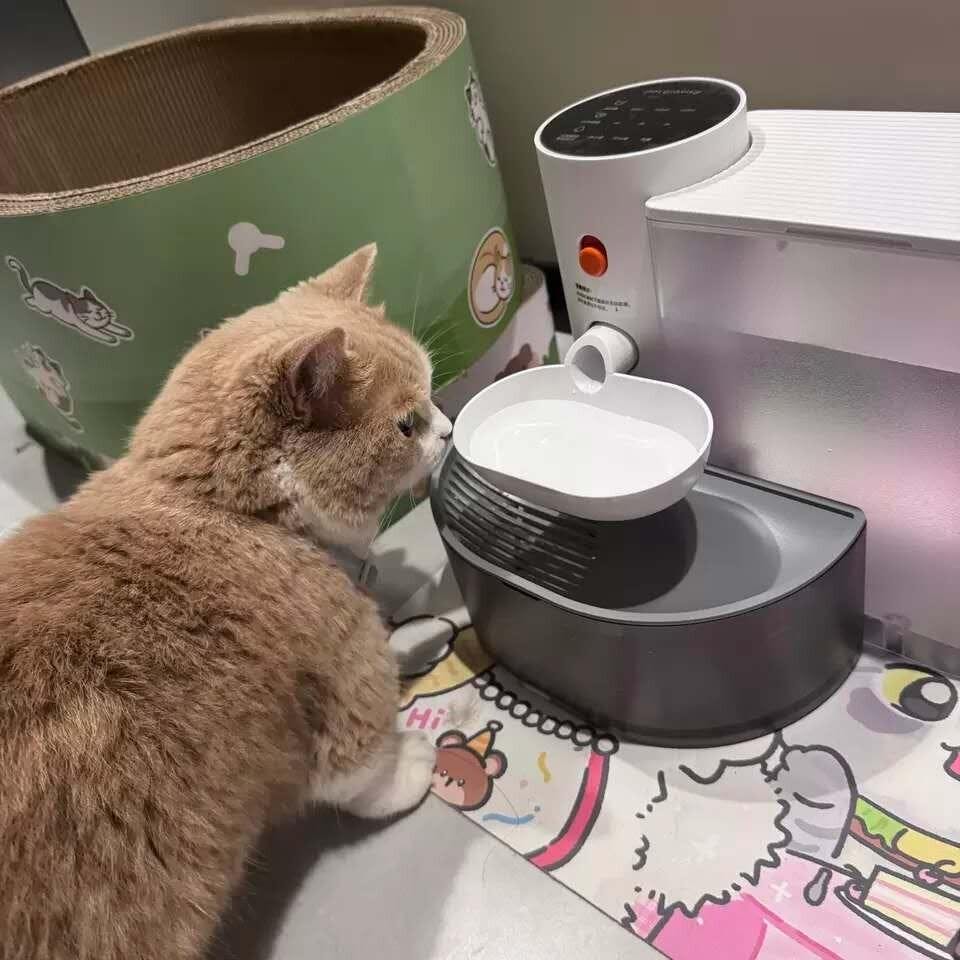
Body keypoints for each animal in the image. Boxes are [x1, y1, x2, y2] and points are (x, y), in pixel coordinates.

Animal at [0, 244, 452, 960]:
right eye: (408, 423)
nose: (452, 428)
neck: (226, 509)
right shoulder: (342, 669)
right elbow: (356, 771)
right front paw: (411, 761)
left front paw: (412, 633)